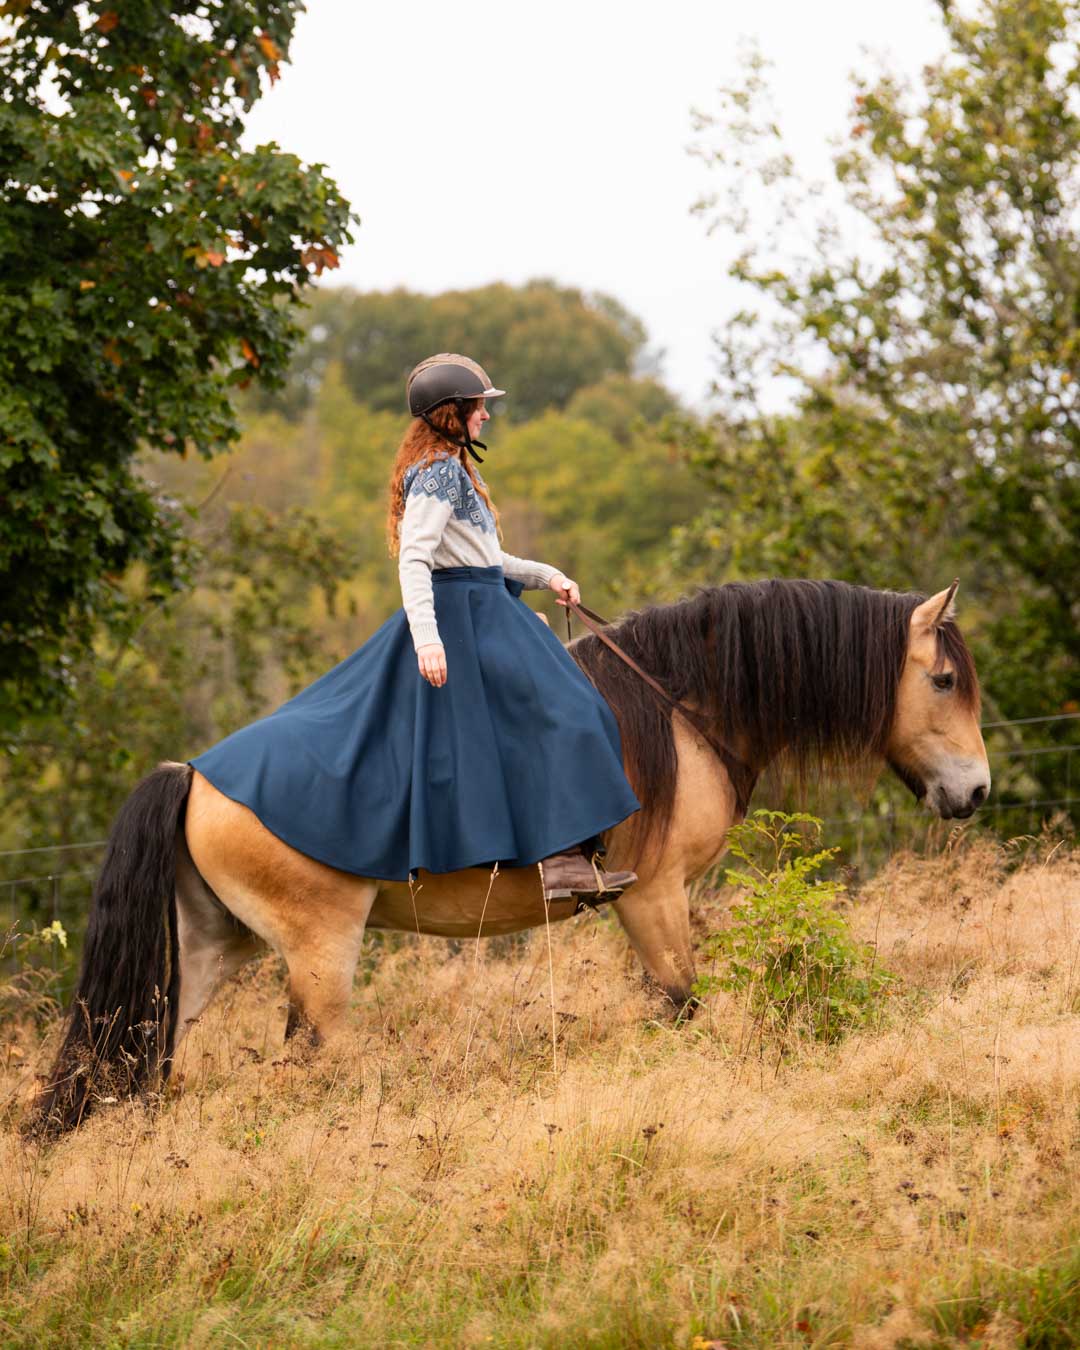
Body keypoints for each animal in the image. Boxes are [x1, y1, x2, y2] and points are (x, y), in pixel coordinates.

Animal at [29, 575, 993, 1134]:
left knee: (141, 1057)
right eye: (944, 680)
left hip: (206, 950)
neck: (676, 707)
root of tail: (197, 774)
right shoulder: (653, 898)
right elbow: (685, 1005)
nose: (977, 792)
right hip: (320, 952)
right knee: (314, 1059)